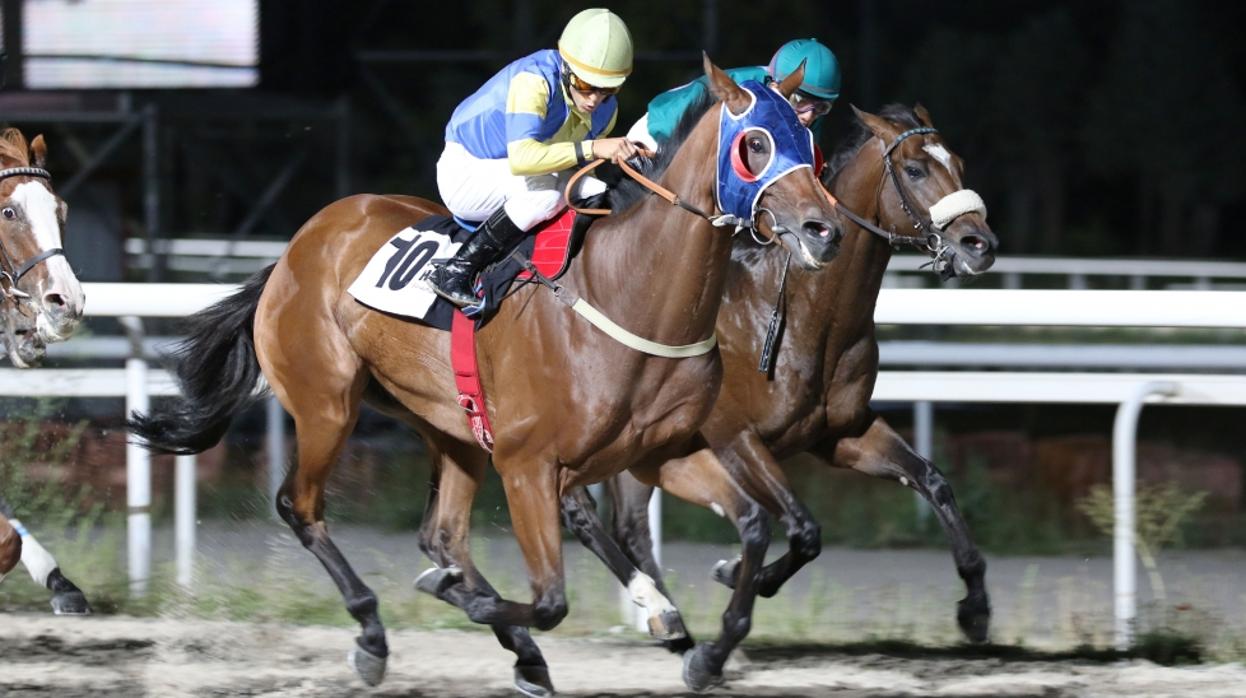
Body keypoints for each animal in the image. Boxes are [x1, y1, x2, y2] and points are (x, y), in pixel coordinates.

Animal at [128, 57, 847, 693]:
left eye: (809, 143)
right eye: (755, 143)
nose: (824, 230)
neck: (627, 291)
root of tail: (296, 248)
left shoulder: (661, 453)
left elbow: (753, 524)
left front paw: (705, 650)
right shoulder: (528, 464)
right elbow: (552, 598)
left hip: (449, 426)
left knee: (442, 535)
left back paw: (514, 642)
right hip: (327, 403)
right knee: (300, 506)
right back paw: (375, 635)